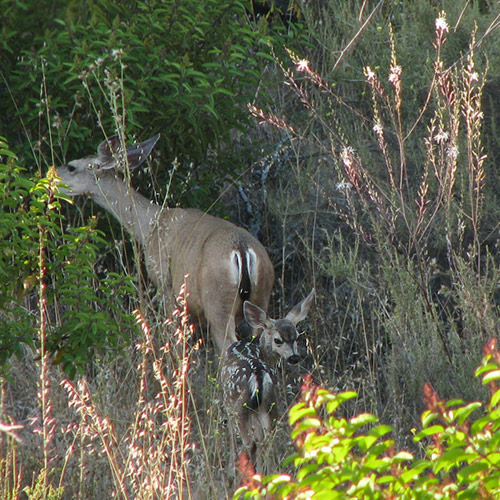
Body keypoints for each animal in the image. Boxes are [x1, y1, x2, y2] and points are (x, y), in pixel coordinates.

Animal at [56, 135, 276, 354]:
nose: (52, 176)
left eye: (71, 166)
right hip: (261, 297)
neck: (151, 226)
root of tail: (242, 249)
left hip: (218, 300)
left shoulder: (166, 285)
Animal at [224, 288, 316, 474]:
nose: (294, 357)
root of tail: (259, 377)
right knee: (267, 440)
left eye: (296, 337)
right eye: (278, 339)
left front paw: (230, 469)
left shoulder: (227, 403)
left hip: (241, 407)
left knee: (249, 443)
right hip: (271, 405)